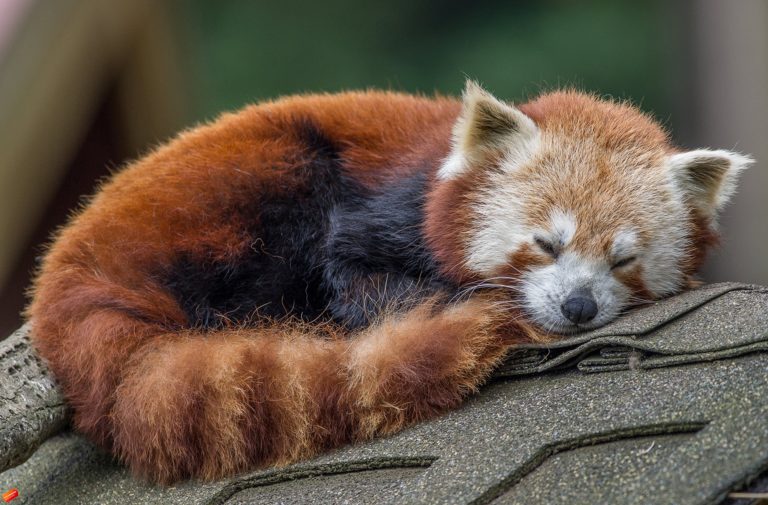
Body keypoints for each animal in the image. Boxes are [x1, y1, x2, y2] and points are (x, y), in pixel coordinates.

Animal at [28, 80, 752, 482]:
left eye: (623, 259)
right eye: (547, 243)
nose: (578, 306)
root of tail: (68, 268)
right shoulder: (383, 203)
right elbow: (351, 272)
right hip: (239, 190)